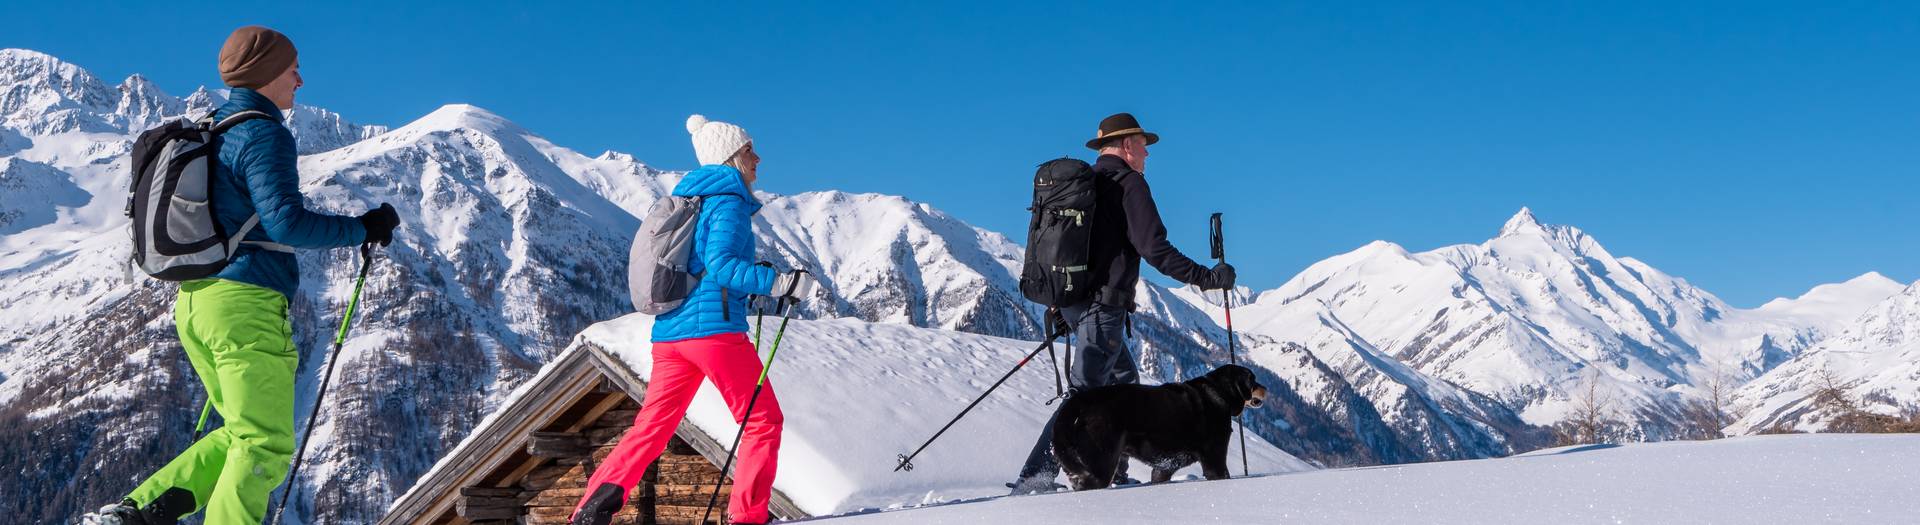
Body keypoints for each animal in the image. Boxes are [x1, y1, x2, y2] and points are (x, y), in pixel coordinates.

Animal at [1044, 361, 1267, 488]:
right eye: (1252, 379)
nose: (1266, 388)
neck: (1219, 393)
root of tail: (1080, 401)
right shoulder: (1215, 458)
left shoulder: (1164, 467)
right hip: (1101, 462)